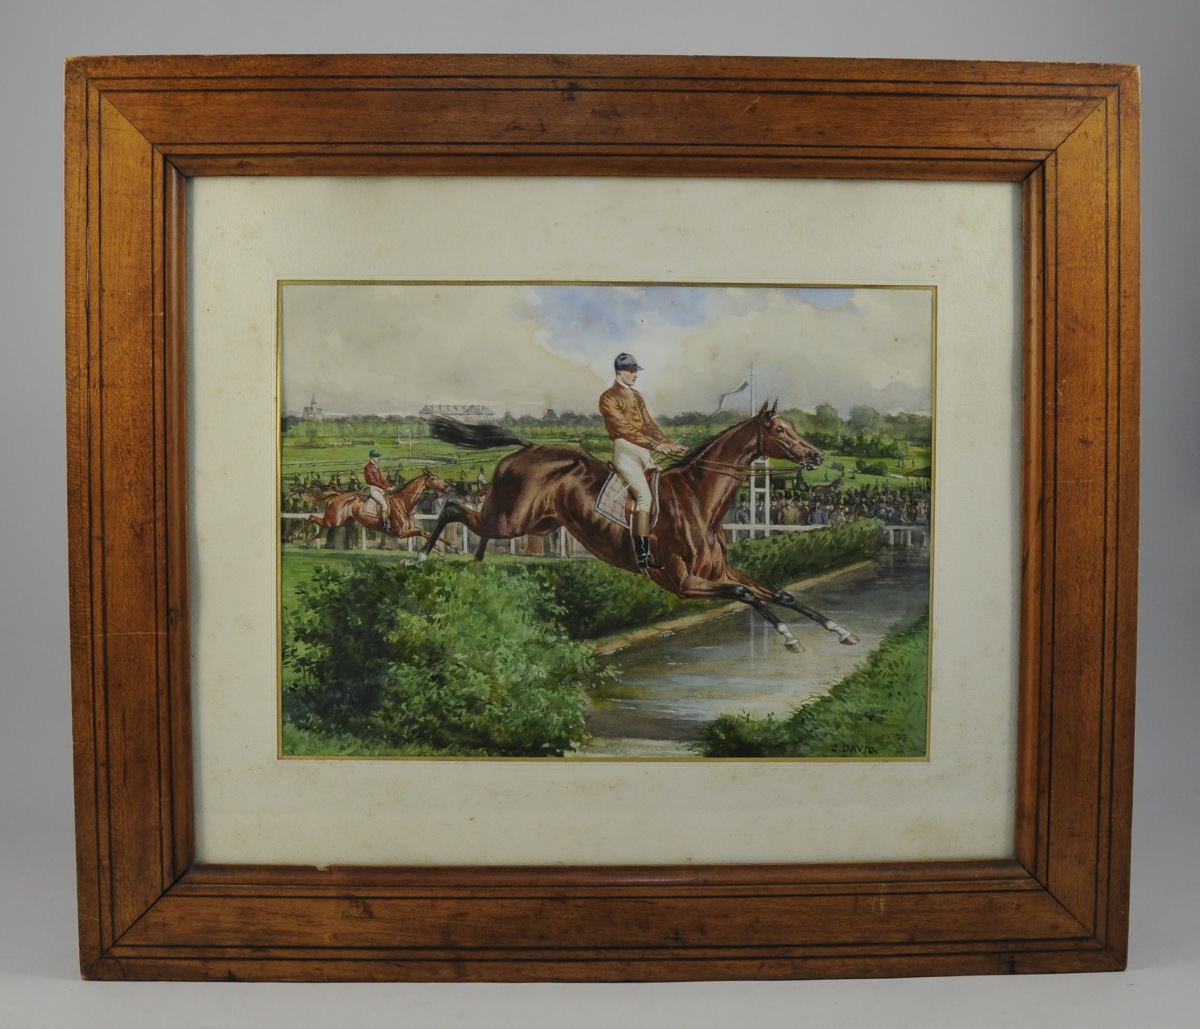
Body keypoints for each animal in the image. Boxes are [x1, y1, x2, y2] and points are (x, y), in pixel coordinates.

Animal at [305, 469, 451, 547]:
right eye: (433, 478)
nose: (447, 486)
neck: (404, 503)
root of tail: (337, 494)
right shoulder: (400, 532)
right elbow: (422, 532)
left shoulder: (410, 529)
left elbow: (427, 533)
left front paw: (450, 546)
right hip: (334, 520)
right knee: (312, 517)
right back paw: (305, 535)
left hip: (337, 521)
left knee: (318, 521)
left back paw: (314, 536)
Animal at [419, 404, 859, 652]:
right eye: (780, 430)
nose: (817, 455)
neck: (698, 499)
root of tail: (529, 446)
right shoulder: (683, 583)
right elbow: (746, 594)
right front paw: (790, 637)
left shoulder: (717, 571)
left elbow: (780, 593)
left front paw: (840, 630)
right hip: (515, 519)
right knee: (455, 507)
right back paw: (421, 557)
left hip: (537, 522)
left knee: (476, 523)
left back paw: (475, 561)